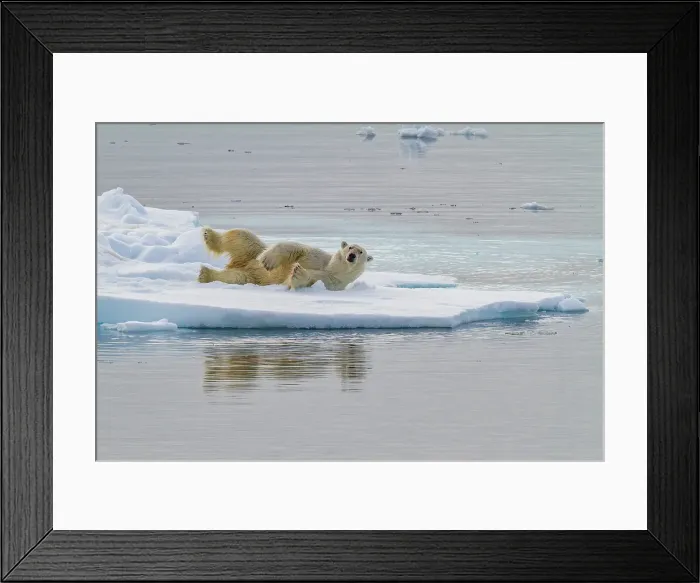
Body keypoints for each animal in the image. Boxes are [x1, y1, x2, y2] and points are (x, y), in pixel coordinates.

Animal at [197, 227, 373, 291]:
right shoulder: (320, 257)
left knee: (236, 277)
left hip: (251, 276)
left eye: (361, 252)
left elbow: (306, 280)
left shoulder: (332, 283)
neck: (332, 269)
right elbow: (298, 249)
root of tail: (238, 264)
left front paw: (298, 273)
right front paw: (267, 260)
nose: (352, 256)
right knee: (243, 236)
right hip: (252, 253)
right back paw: (209, 235)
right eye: (350, 247)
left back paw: (205, 274)